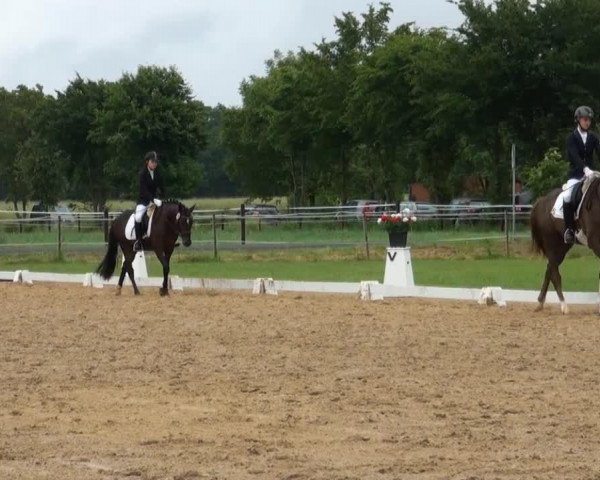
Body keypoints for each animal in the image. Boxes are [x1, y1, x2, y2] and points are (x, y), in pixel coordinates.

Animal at [528, 174, 600, 314]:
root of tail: (541, 201)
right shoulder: (596, 242)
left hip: (562, 246)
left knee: (550, 268)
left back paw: (540, 303)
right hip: (552, 243)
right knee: (554, 273)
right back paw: (564, 306)